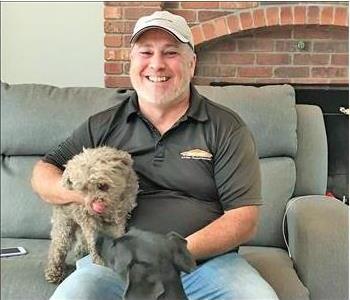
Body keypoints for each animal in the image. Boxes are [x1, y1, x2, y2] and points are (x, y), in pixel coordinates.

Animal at [45, 148, 139, 284]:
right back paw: (54, 271)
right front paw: (99, 261)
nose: (94, 206)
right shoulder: (87, 219)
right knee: (58, 245)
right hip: (64, 222)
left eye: (102, 186)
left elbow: (118, 234)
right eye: (83, 190)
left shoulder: (119, 218)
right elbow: (92, 241)